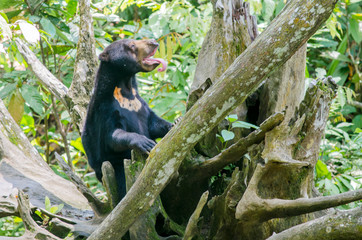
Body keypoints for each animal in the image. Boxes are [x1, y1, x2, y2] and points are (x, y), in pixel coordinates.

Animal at [82, 39, 173, 200]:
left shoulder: (140, 104)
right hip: (114, 167)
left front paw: (175, 123)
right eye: (132, 45)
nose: (154, 42)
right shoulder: (106, 110)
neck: (125, 89)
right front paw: (145, 142)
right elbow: (113, 136)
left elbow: (153, 123)